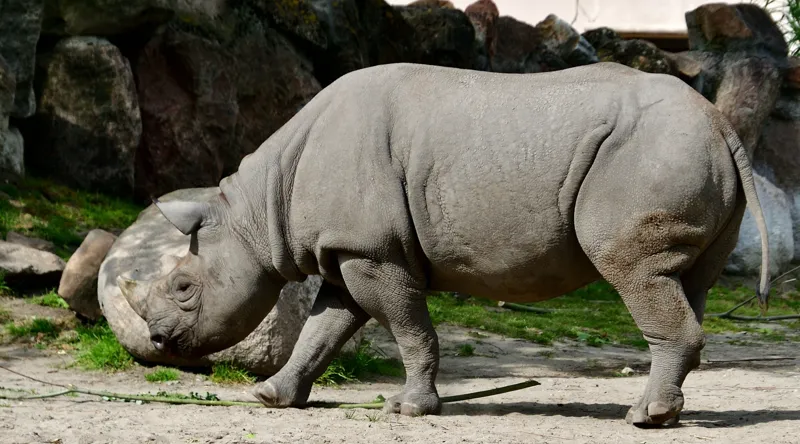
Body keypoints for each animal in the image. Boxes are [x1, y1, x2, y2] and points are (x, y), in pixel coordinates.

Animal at [119, 62, 770, 427]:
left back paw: (642, 419)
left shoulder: (372, 251)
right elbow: (322, 328)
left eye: (183, 288)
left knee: (635, 272)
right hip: (687, 155)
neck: (258, 210)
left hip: (648, 155)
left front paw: (408, 410)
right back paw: (667, 415)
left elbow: (409, 329)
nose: (159, 342)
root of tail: (721, 124)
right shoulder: (349, 250)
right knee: (687, 281)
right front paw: (271, 397)